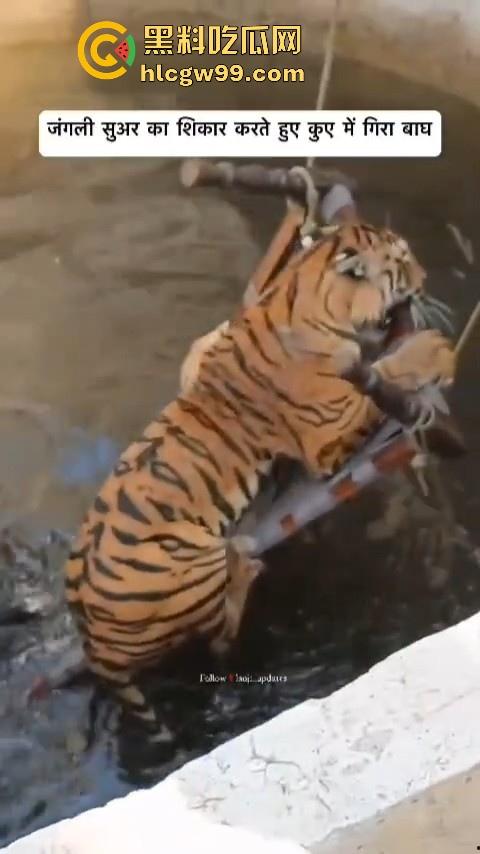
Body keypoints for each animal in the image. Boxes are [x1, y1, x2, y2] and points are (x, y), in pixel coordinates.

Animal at [64, 221, 456, 738]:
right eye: (404, 260)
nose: (426, 277)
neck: (300, 292)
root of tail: (93, 643)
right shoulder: (332, 430)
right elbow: (385, 367)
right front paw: (432, 349)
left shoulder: (204, 355)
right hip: (192, 562)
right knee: (219, 639)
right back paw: (245, 562)